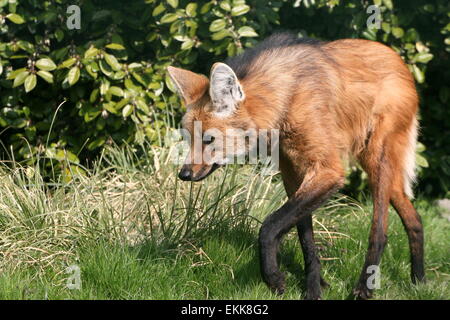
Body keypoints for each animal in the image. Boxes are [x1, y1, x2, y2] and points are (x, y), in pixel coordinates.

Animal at [167, 32, 424, 300]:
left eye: (209, 139)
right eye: (188, 138)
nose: (184, 174)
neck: (286, 101)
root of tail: (398, 60)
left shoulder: (328, 171)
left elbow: (269, 226)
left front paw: (274, 278)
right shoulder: (292, 173)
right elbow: (305, 237)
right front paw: (313, 288)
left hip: (377, 159)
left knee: (380, 231)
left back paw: (364, 287)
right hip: (374, 165)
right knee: (414, 218)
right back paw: (419, 281)